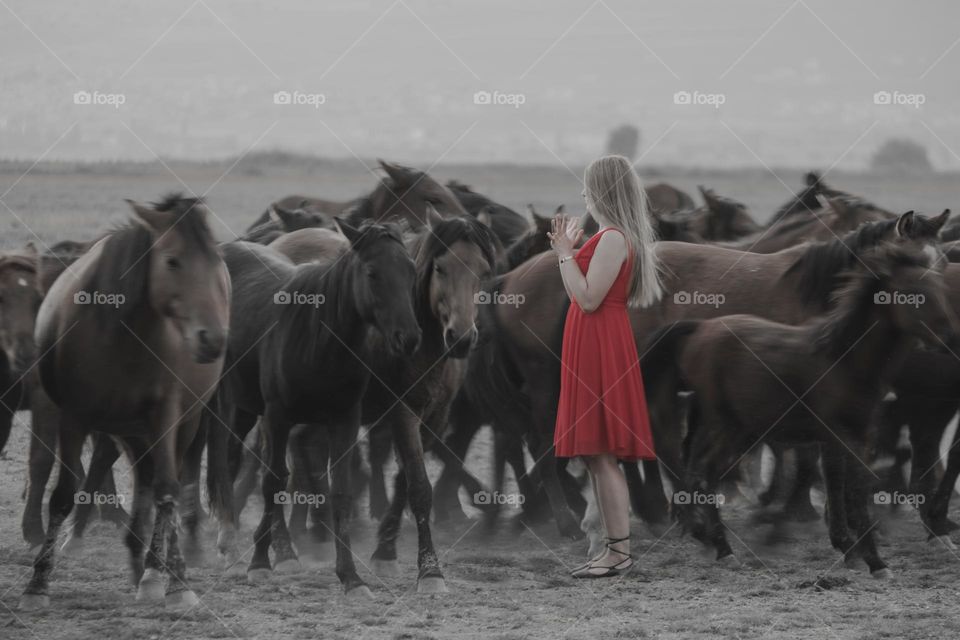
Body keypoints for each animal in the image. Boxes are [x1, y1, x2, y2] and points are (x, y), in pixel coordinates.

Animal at [20, 194, 230, 611]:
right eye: (172, 260)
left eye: (215, 258)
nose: (212, 339)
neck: (121, 335)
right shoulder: (73, 416)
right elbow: (64, 494)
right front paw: (38, 582)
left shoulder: (165, 416)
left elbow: (167, 488)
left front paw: (174, 582)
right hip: (128, 430)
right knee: (141, 478)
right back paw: (138, 561)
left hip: (181, 423)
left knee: (163, 481)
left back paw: (157, 569)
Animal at [213, 219, 422, 596]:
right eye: (372, 272)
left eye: (411, 271)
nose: (408, 338)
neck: (318, 339)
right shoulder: (278, 417)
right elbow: (273, 483)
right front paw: (260, 563)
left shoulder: (344, 420)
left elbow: (339, 491)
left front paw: (351, 577)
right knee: (225, 461)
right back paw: (229, 549)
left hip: (244, 406)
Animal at [640, 244, 959, 576]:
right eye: (913, 293)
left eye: (940, 289)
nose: (951, 338)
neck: (843, 360)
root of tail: (699, 328)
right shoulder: (843, 434)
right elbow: (854, 488)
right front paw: (874, 560)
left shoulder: (855, 434)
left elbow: (842, 482)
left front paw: (854, 550)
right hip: (725, 425)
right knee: (701, 470)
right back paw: (720, 545)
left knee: (700, 470)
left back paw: (711, 539)